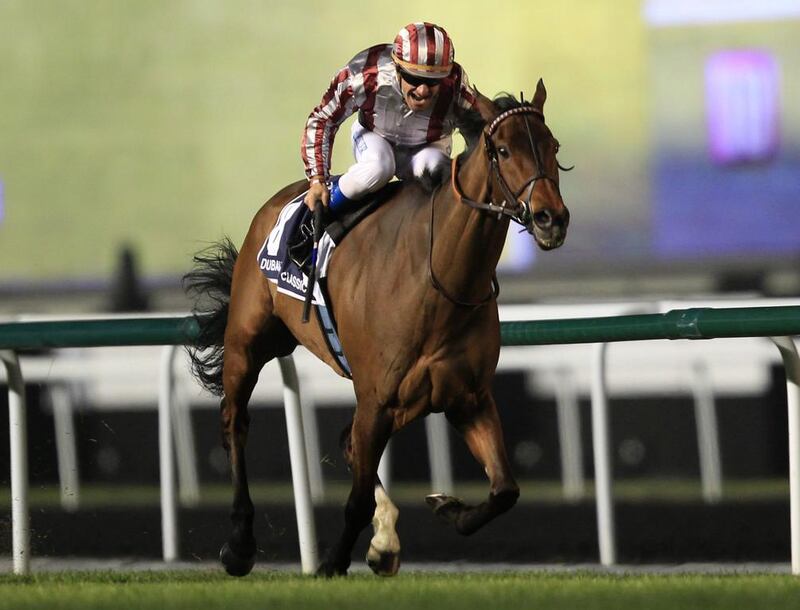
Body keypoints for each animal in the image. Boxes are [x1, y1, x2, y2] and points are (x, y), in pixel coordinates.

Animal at [184, 77, 568, 576]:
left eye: (553, 145)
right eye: (502, 150)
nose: (550, 218)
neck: (437, 278)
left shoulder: (466, 396)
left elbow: (505, 490)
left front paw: (447, 509)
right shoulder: (377, 397)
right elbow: (356, 499)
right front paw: (331, 562)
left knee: (348, 442)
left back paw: (384, 541)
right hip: (248, 343)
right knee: (236, 423)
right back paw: (239, 544)